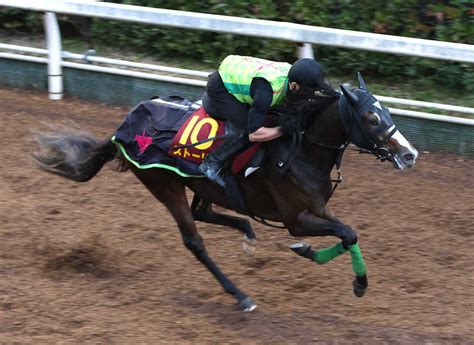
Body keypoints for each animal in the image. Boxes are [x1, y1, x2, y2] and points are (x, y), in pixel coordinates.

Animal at [33, 73, 418, 312]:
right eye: (371, 118)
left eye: (387, 111)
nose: (409, 154)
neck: (301, 150)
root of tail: (123, 128)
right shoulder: (295, 217)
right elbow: (347, 233)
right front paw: (347, 276)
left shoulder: (318, 208)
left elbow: (349, 233)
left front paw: (324, 261)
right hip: (164, 184)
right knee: (194, 240)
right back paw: (240, 295)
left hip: (201, 184)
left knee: (205, 212)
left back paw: (246, 232)